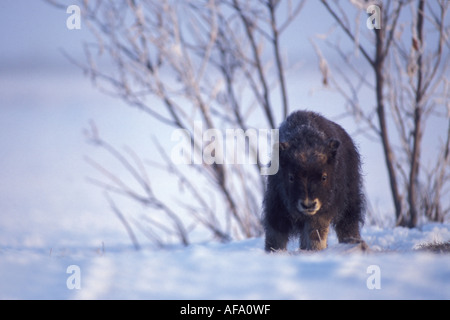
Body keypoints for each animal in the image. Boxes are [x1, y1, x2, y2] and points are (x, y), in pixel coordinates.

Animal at [264, 111, 366, 251]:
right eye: (291, 177)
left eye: (324, 177)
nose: (308, 205)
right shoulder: (276, 209)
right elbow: (275, 238)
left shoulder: (321, 213)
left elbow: (315, 234)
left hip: (349, 201)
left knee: (348, 223)